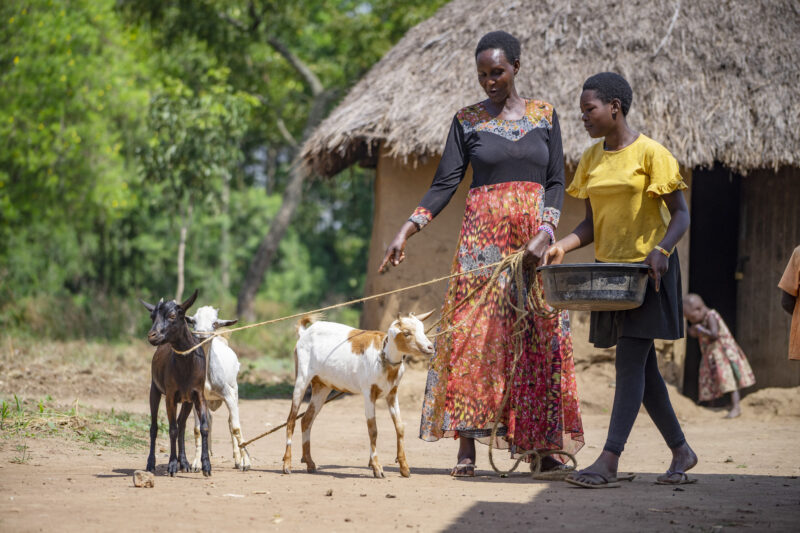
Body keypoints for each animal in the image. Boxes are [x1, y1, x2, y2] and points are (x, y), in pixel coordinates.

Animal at [141, 288, 211, 476]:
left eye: (173, 315)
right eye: (152, 316)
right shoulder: (170, 395)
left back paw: (184, 462)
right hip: (154, 390)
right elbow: (171, 429)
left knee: (182, 425)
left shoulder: (198, 394)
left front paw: (206, 466)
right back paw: (151, 463)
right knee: (154, 427)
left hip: (187, 401)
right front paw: (172, 464)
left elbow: (203, 427)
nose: (152, 336)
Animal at [187, 306, 252, 472]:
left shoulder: (228, 394)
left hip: (235, 390)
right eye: (193, 321)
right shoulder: (195, 397)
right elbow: (198, 429)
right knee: (209, 420)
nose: (201, 334)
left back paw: (238, 460)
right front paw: (196, 463)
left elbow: (235, 427)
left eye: (214, 323)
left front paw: (246, 462)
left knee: (230, 422)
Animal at [282, 310, 434, 476]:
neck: (383, 356)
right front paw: (377, 468)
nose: (430, 347)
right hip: (302, 378)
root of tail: (304, 334)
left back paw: (309, 462)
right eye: (406, 333)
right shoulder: (368, 392)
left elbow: (400, 427)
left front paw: (404, 467)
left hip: (322, 386)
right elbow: (373, 429)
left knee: (306, 420)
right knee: (291, 420)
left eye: (422, 329)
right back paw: (287, 465)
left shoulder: (392, 392)